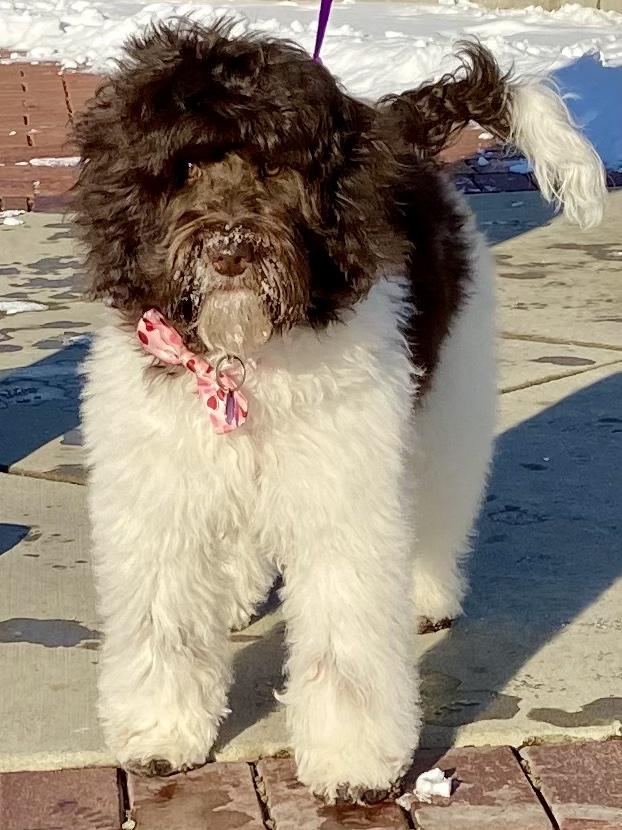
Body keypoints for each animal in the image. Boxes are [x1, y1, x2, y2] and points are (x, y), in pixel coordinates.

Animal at [74, 19, 606, 803]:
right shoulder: (163, 498)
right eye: (187, 169)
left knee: (437, 502)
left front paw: (352, 761)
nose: (229, 250)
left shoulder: (341, 501)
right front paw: (161, 733)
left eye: (272, 170)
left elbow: (345, 645)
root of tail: (399, 128)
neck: (243, 358)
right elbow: (163, 625)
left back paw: (425, 594)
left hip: (444, 397)